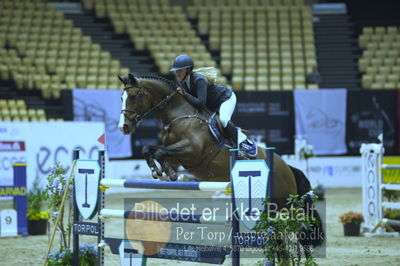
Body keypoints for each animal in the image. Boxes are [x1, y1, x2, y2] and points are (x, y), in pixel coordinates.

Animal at [117, 72, 324, 254]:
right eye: (121, 97)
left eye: (133, 96)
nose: (124, 127)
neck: (178, 115)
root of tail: (287, 167)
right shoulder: (174, 153)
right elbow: (150, 150)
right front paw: (160, 171)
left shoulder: (192, 151)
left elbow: (160, 152)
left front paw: (166, 172)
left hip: (282, 205)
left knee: (300, 228)